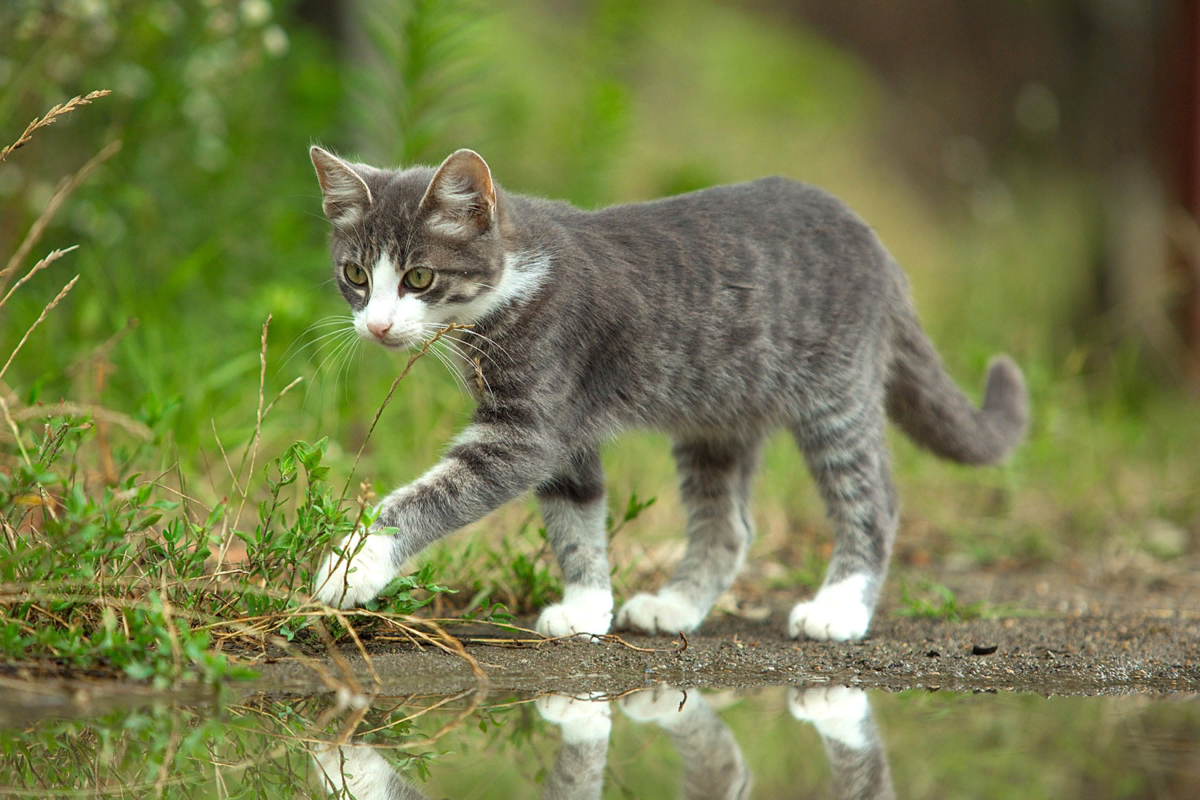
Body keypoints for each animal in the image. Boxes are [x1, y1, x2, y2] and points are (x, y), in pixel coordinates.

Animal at [304, 145, 1027, 642]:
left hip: (836, 393)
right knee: (728, 524)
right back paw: (676, 606)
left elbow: (435, 493)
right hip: (718, 414)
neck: (517, 278)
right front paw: (587, 606)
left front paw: (353, 565)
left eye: (420, 277)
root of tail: (878, 246)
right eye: (356, 275)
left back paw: (838, 608)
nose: (377, 326)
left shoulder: (528, 425)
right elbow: (576, 514)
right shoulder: (567, 429)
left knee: (872, 498)